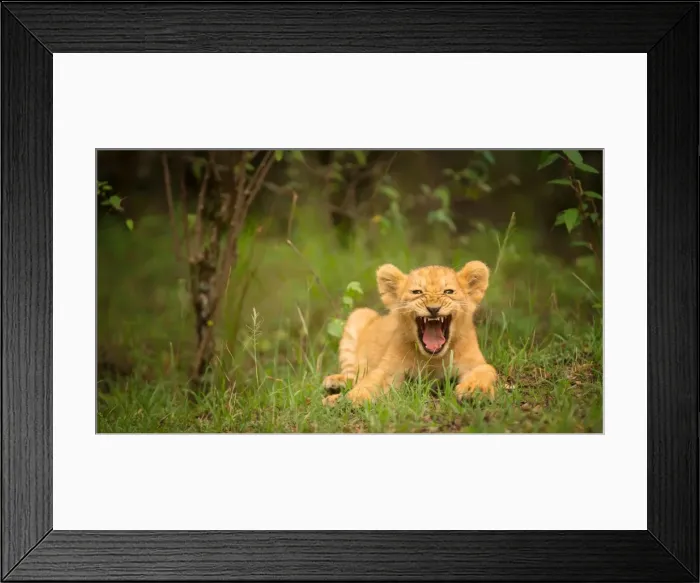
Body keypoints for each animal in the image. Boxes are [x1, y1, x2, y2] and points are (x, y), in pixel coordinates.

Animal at [322, 261, 498, 406]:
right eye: (417, 292)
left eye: (448, 291)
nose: (433, 309)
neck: (432, 359)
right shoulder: (389, 371)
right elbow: (370, 382)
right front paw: (348, 399)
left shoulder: (475, 364)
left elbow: (485, 371)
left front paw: (473, 391)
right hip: (359, 315)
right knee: (355, 375)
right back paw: (335, 383)